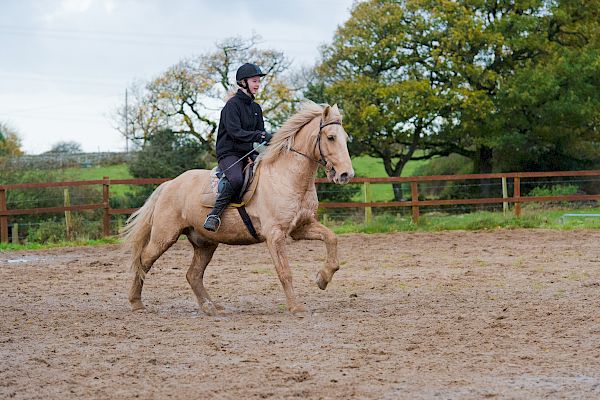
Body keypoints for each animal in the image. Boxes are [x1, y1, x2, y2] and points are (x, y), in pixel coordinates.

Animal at [123, 102, 354, 316]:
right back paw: (136, 303)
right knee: (143, 261)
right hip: (164, 237)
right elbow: (284, 271)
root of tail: (169, 184)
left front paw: (322, 278)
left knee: (193, 274)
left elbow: (332, 238)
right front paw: (296, 307)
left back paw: (211, 307)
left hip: (205, 242)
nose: (346, 174)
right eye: (331, 137)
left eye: (345, 137)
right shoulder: (275, 234)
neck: (286, 177)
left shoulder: (301, 227)